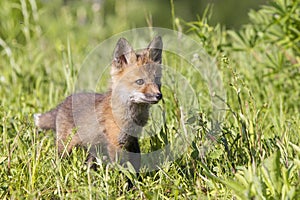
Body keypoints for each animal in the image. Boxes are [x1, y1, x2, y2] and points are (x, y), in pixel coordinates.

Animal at [34, 36, 163, 173]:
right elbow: (121, 170)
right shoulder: (116, 143)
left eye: (157, 80)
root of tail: (63, 102)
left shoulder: (133, 140)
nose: (158, 95)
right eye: (140, 82)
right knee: (58, 159)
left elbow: (135, 163)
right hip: (66, 146)